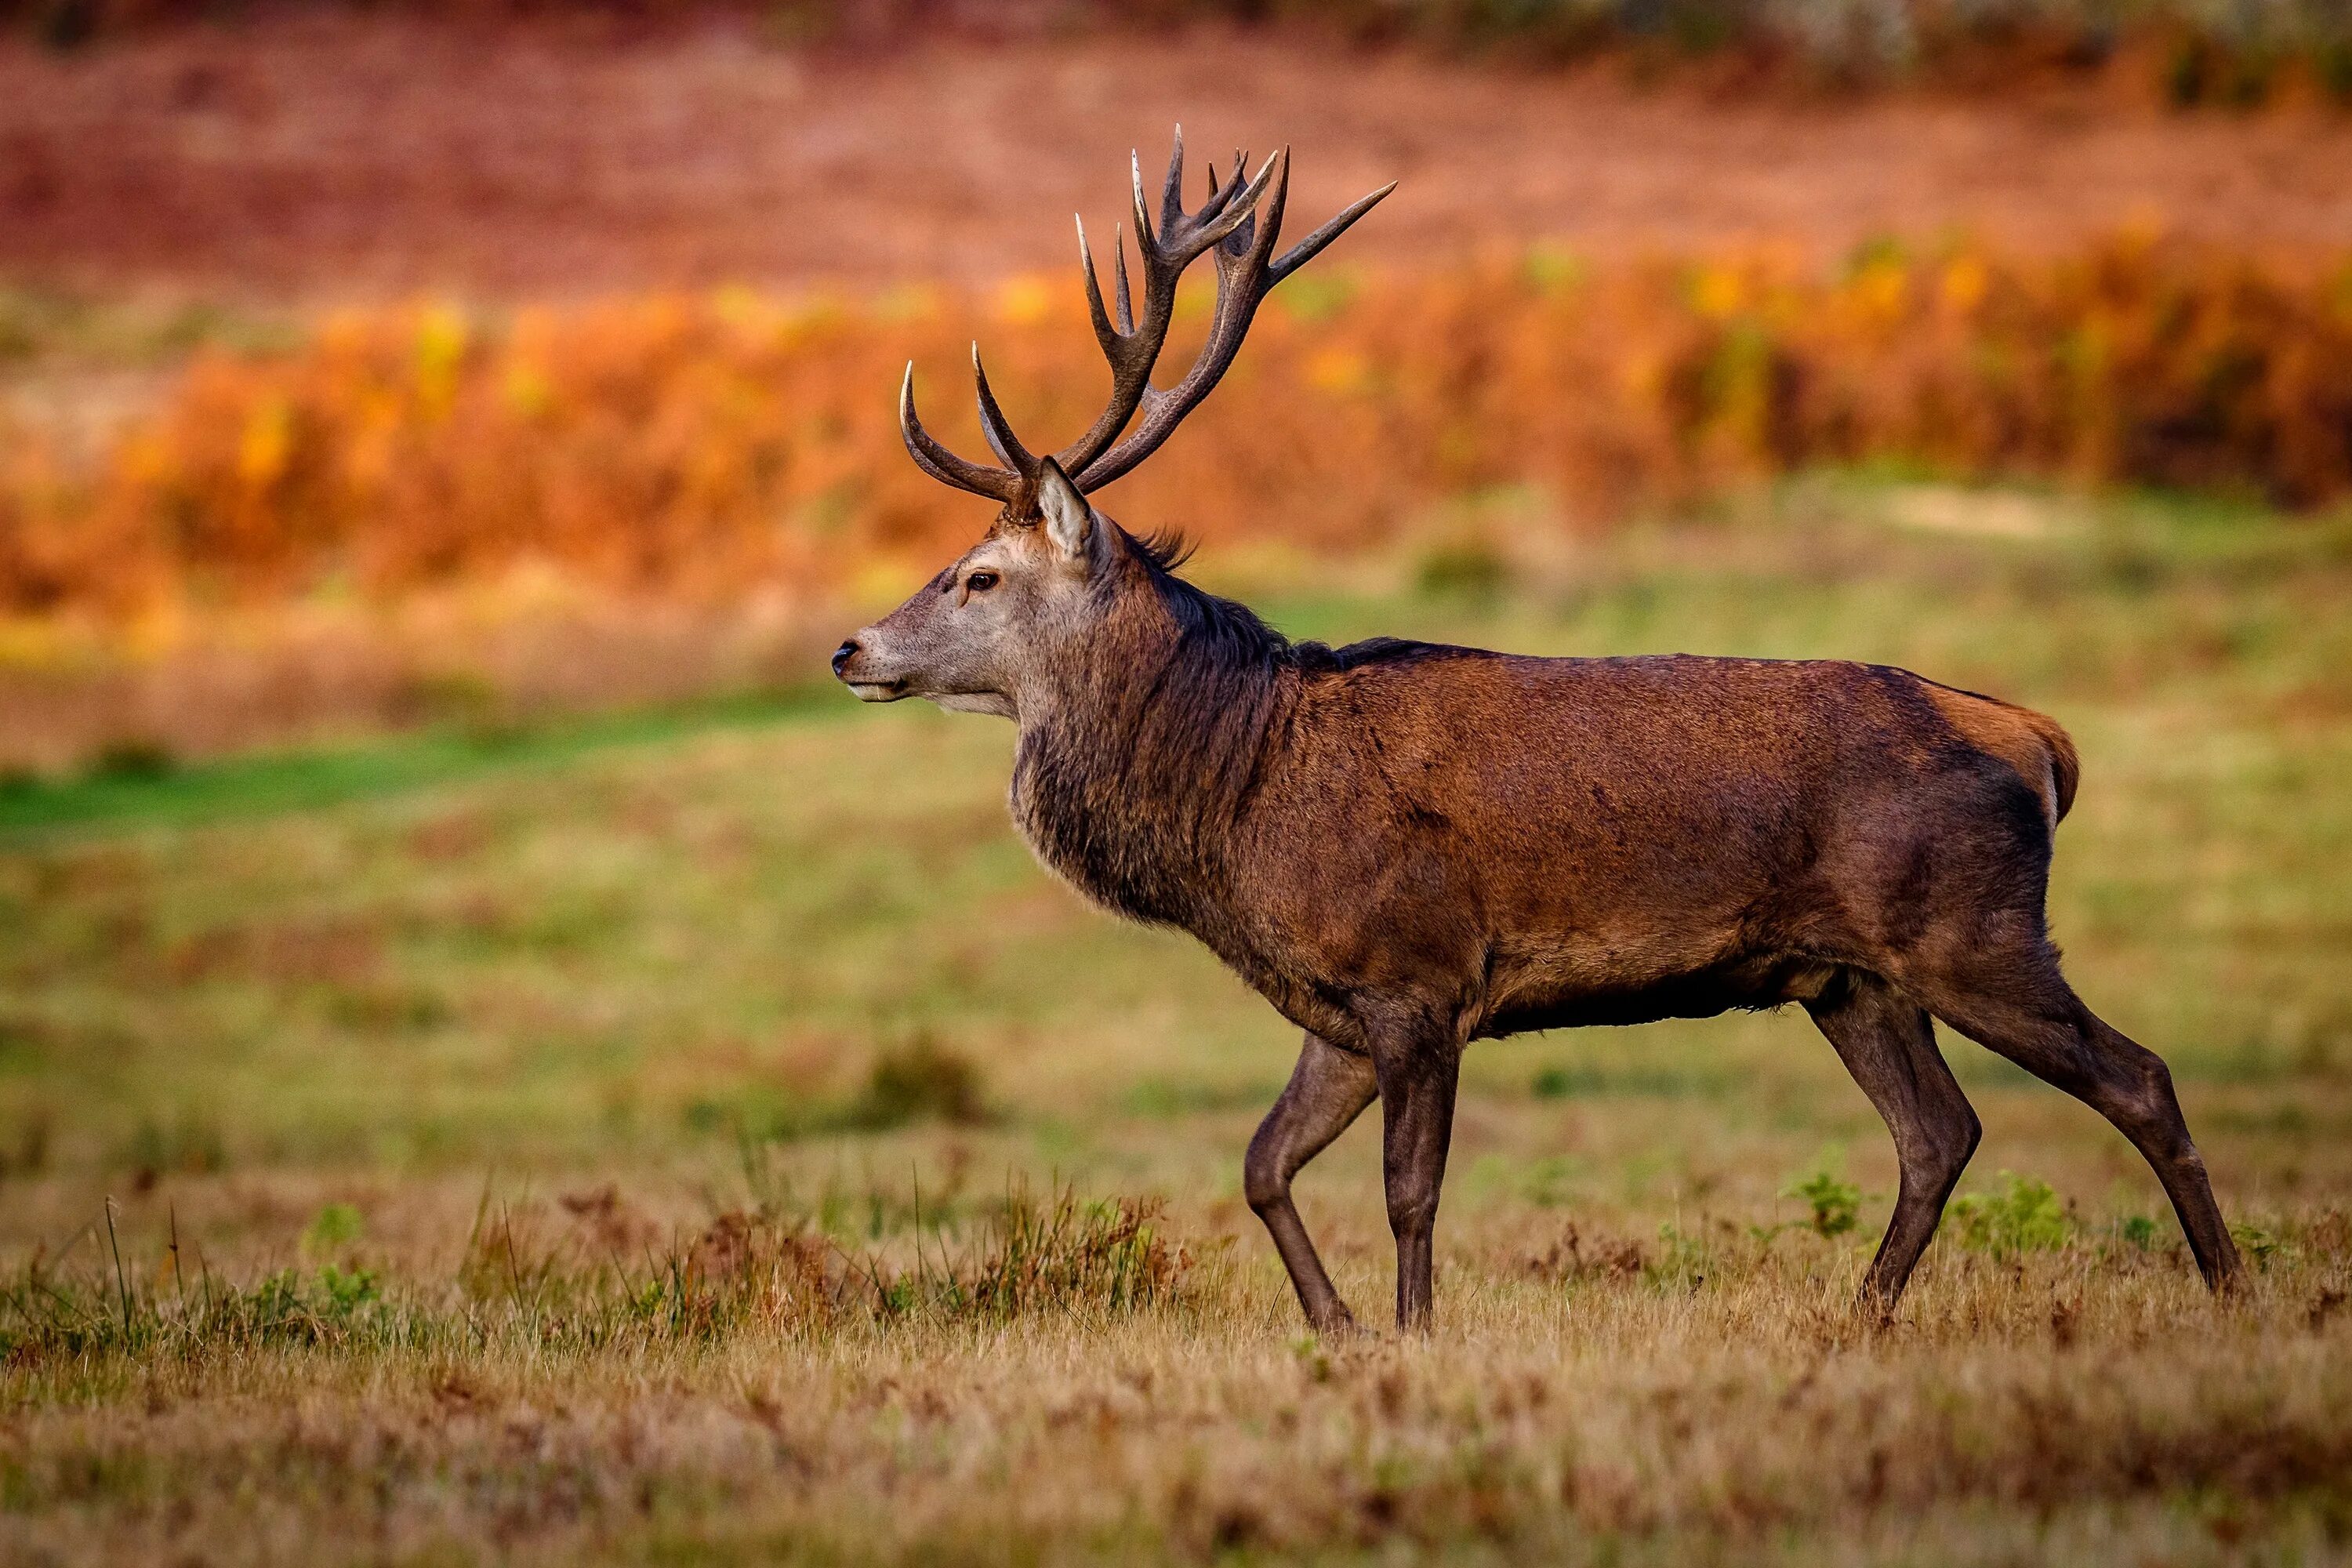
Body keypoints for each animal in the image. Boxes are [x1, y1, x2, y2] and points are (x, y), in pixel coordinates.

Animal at [828, 138, 2239, 1335]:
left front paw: (1413, 1334)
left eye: (979, 578)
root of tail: (2037, 739)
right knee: (1939, 1133)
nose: (848, 648)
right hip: (1851, 978)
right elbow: (1260, 1164)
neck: (1237, 802)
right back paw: (1859, 1316)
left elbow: (1409, 1190)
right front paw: (1337, 1328)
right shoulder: (1335, 1005)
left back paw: (2230, 1289)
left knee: (2139, 1077)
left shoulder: (1418, 974)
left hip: (1972, 930)